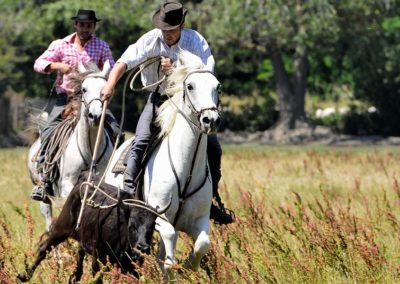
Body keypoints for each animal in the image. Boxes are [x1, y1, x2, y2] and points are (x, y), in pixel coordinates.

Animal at [29, 60, 114, 231]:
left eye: (105, 89)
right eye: (84, 89)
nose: (95, 116)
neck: (90, 148)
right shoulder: (67, 184)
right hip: (42, 191)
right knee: (47, 215)